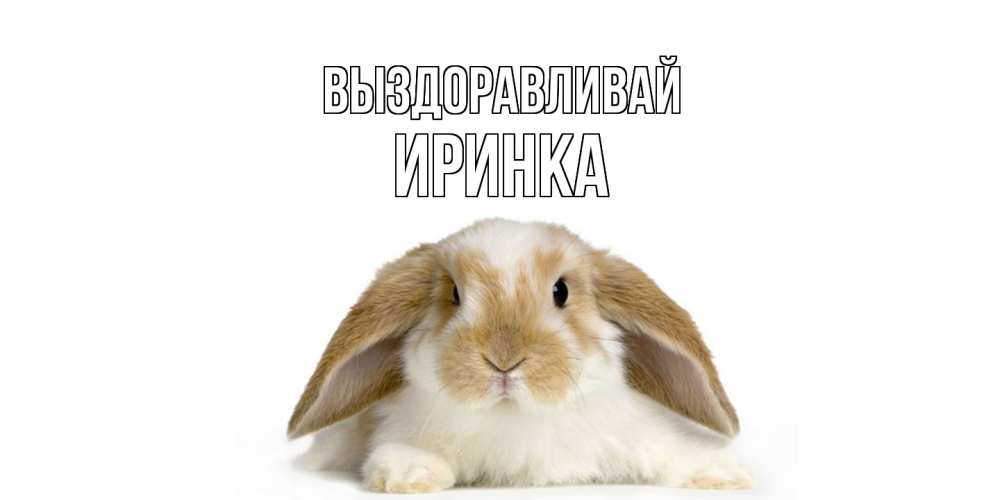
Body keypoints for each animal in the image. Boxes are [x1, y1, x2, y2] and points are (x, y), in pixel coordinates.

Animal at [288, 219, 752, 492]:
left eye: (561, 291)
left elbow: (670, 450)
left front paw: (724, 474)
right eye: (454, 294)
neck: (515, 417)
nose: (504, 359)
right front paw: (408, 474)